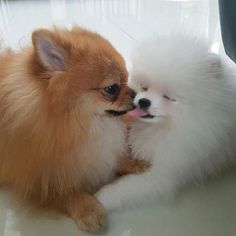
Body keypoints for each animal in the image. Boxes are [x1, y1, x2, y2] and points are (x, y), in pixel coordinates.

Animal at [0, 26, 147, 231]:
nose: (136, 94)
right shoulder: (36, 178)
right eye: (111, 89)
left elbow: (113, 155)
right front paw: (88, 208)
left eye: (128, 77)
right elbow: (64, 191)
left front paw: (133, 162)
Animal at [97, 34, 236, 212]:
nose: (143, 101)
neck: (165, 127)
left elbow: (130, 187)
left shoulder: (167, 171)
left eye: (168, 97)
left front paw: (101, 198)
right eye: (144, 87)